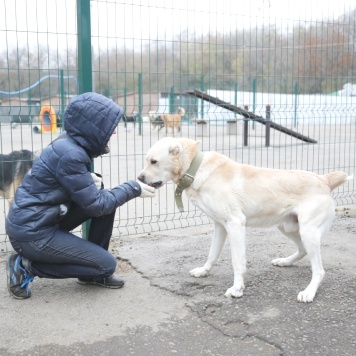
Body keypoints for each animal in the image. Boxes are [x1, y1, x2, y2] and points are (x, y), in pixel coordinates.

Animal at [138, 138, 352, 302]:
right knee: (302, 250)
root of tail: (324, 179)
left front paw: (238, 289)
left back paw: (309, 292)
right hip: (288, 227)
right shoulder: (220, 226)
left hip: (307, 232)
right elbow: (212, 254)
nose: (139, 178)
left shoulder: (235, 225)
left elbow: (237, 262)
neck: (196, 169)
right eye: (148, 160)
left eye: (154, 161)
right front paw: (203, 271)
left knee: (319, 270)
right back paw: (285, 262)